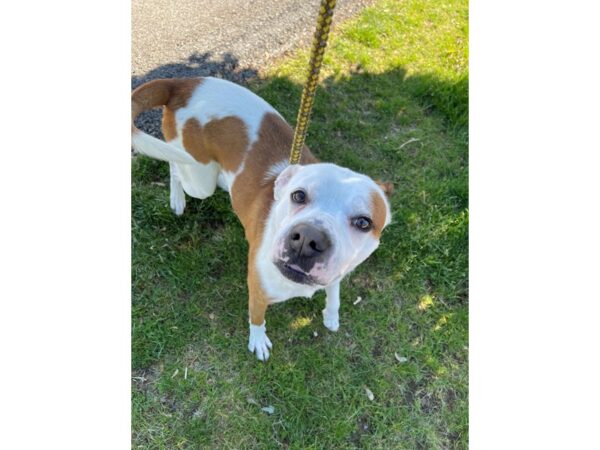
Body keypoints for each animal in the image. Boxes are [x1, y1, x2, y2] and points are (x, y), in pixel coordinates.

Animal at [132, 76, 394, 358]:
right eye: (298, 195)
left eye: (363, 222)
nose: (306, 240)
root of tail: (183, 83)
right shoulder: (257, 290)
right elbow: (257, 319)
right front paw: (258, 340)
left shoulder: (336, 273)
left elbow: (334, 291)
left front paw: (331, 315)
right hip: (198, 179)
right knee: (175, 168)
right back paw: (177, 198)